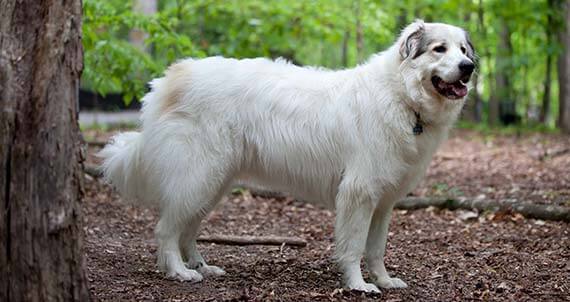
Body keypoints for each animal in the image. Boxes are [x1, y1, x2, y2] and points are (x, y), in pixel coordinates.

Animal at [98, 20, 474, 292]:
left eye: (463, 49)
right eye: (439, 49)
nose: (469, 66)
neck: (402, 97)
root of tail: (169, 78)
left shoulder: (383, 202)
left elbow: (376, 248)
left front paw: (383, 280)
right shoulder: (359, 194)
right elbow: (354, 246)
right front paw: (358, 285)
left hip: (212, 183)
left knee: (187, 229)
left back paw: (202, 266)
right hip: (198, 176)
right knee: (166, 230)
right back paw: (179, 272)